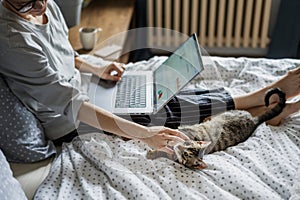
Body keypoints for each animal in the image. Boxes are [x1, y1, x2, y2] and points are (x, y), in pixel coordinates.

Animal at [147, 87, 286, 169]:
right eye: (190, 147)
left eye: (187, 157)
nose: (182, 151)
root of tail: (253, 120)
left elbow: (163, 150)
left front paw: (152, 152)